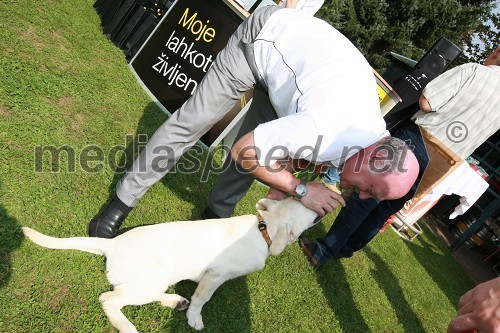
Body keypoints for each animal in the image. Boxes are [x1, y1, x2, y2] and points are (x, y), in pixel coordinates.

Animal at [22, 197, 316, 330]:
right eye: (308, 208)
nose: (321, 201)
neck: (263, 228)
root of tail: (112, 244)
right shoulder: (216, 275)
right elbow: (202, 299)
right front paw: (194, 318)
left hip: (154, 281)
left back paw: (175, 301)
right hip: (151, 280)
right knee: (109, 299)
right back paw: (128, 327)